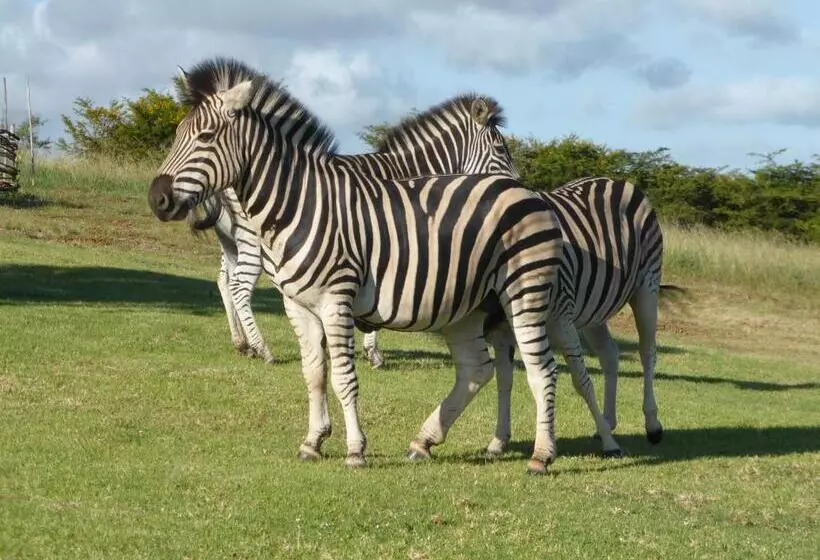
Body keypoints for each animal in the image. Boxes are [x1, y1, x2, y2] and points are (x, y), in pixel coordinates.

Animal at [188, 93, 519, 368]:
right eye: (501, 149)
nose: (518, 186)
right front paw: (373, 353)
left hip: (230, 241)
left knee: (223, 280)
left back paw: (242, 344)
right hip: (254, 242)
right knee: (239, 286)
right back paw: (262, 349)